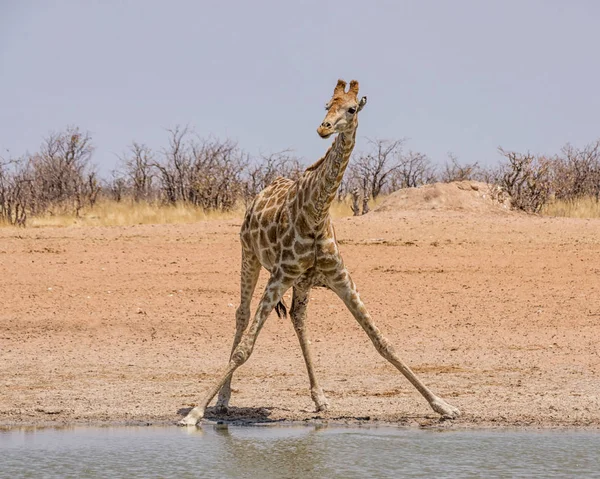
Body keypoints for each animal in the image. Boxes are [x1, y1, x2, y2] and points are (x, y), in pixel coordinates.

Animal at [180, 79, 462, 428]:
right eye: (327, 104)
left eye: (351, 109)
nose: (324, 127)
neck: (316, 214)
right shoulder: (280, 275)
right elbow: (244, 350)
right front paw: (195, 412)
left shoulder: (340, 277)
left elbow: (383, 342)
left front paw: (443, 405)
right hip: (250, 256)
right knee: (242, 315)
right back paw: (222, 400)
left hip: (300, 282)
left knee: (298, 318)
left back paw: (319, 397)